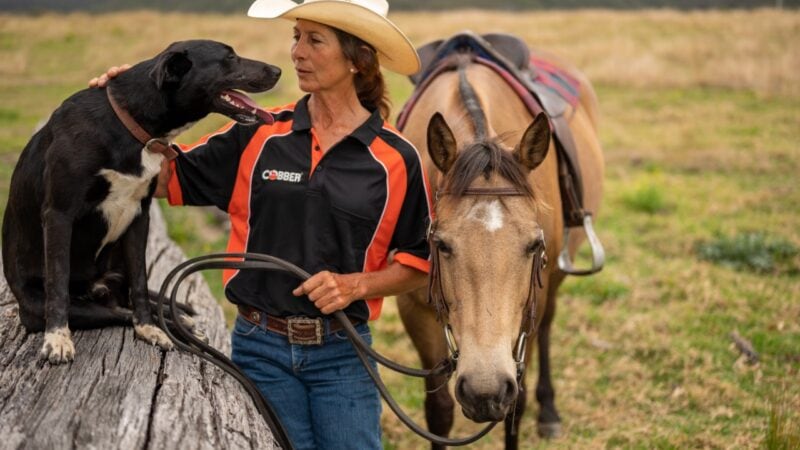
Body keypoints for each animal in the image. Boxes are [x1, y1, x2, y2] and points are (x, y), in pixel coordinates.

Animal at [1, 37, 282, 362]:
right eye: (229, 58)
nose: (278, 70)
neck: (131, 127)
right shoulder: (59, 213)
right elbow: (58, 279)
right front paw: (57, 338)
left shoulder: (138, 216)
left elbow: (141, 283)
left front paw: (148, 328)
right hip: (41, 304)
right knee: (110, 310)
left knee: (128, 301)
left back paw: (176, 321)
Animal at [394, 32, 608, 450]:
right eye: (441, 245)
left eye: (534, 245)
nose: (485, 391)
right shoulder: (413, 309)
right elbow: (438, 411)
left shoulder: (529, 305)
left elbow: (516, 405)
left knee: (548, 324)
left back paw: (549, 411)